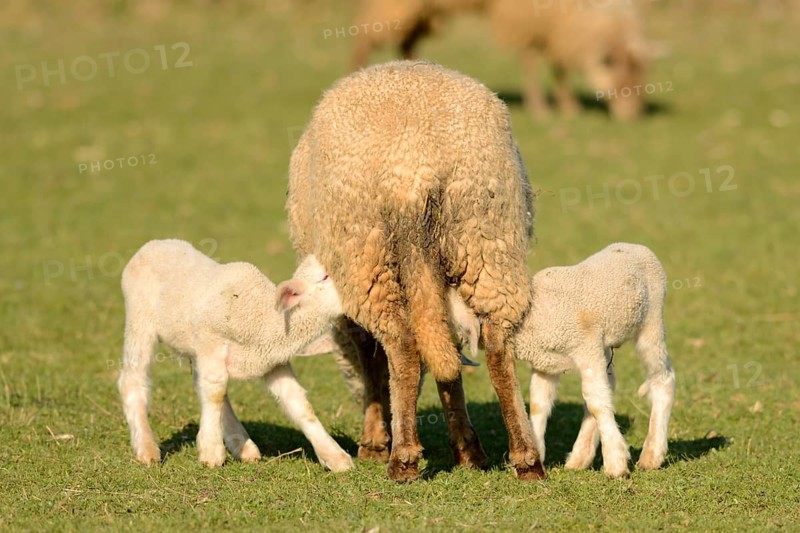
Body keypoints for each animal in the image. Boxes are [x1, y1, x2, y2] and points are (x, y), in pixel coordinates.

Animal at [117, 239, 354, 472]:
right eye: (325, 276)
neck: (262, 316)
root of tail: (155, 243)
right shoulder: (212, 342)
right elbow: (216, 392)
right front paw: (211, 451)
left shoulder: (274, 362)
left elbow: (299, 404)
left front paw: (334, 456)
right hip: (140, 321)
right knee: (132, 380)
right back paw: (146, 448)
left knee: (199, 383)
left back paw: (242, 443)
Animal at [286, 60, 544, 482]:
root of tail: (412, 171)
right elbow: (447, 356)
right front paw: (467, 449)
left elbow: (373, 359)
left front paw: (374, 441)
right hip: (487, 239)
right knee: (495, 344)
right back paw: (526, 459)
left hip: (366, 257)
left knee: (403, 344)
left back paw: (402, 458)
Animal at [352, 0, 654, 120]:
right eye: (621, 77)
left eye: (641, 75)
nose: (632, 116)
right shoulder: (528, 17)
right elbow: (532, 60)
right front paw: (540, 108)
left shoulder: (554, 26)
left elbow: (558, 66)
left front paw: (568, 105)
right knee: (366, 34)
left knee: (406, 42)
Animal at [451, 242, 676, 478]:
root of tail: (634, 245)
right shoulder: (545, 364)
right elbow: (539, 405)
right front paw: (535, 455)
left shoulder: (587, 348)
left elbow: (596, 403)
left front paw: (616, 463)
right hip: (604, 346)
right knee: (610, 384)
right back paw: (580, 457)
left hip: (650, 323)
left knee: (662, 378)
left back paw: (651, 455)